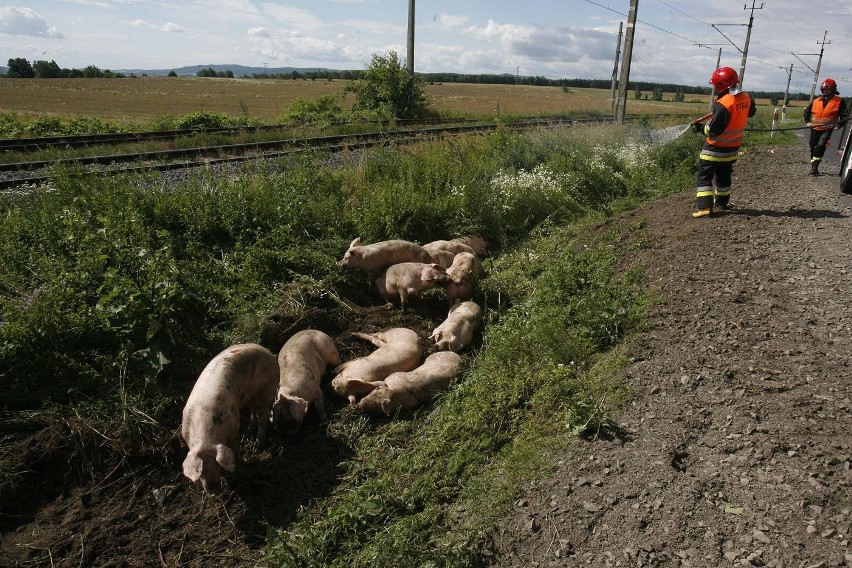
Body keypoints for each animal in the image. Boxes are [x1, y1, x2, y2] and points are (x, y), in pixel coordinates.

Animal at [181, 342, 278, 492]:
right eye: (201, 470)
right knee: (253, 411)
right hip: (249, 396)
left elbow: (235, 448)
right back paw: (248, 431)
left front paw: (239, 465)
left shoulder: (233, 426)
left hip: (266, 392)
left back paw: (257, 447)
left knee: (263, 418)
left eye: (217, 464)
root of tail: (270, 354)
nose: (213, 489)